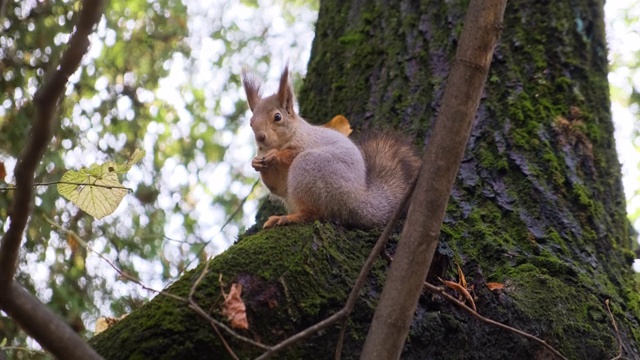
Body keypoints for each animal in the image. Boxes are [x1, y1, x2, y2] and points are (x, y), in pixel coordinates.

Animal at [241, 66, 420, 229]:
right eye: (251, 123)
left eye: (277, 117)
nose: (260, 137)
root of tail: (356, 200)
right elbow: (276, 186)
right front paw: (256, 163)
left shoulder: (307, 142)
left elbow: (291, 153)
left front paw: (275, 155)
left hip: (312, 169)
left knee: (313, 213)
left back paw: (287, 218)